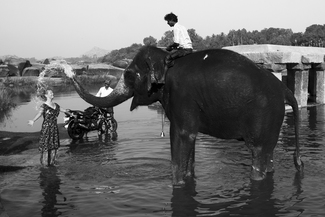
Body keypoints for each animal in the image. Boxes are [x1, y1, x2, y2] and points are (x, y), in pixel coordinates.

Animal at [68, 45, 304, 185]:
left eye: (128, 75)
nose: (70, 71)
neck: (166, 58)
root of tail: (285, 90)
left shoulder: (183, 96)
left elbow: (182, 135)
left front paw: (178, 184)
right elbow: (190, 139)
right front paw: (189, 179)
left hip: (264, 114)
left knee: (258, 152)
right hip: (273, 118)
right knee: (268, 153)